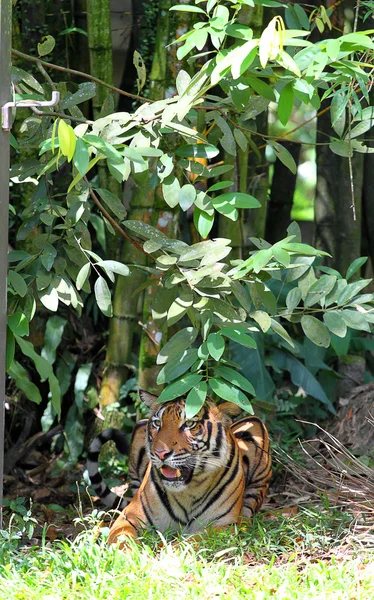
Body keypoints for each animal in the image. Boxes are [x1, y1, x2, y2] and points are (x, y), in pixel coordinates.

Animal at [86, 390, 270, 548]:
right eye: (157, 423)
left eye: (189, 423)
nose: (160, 453)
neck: (189, 490)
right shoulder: (129, 517)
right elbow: (122, 539)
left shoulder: (223, 525)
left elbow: (189, 542)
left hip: (256, 426)